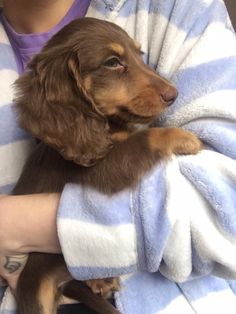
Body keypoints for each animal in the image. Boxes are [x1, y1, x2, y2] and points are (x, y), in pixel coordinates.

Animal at [12, 17, 201, 314]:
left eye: (139, 53)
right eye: (112, 62)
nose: (174, 94)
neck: (105, 127)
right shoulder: (97, 171)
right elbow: (147, 137)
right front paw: (184, 138)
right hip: (34, 283)